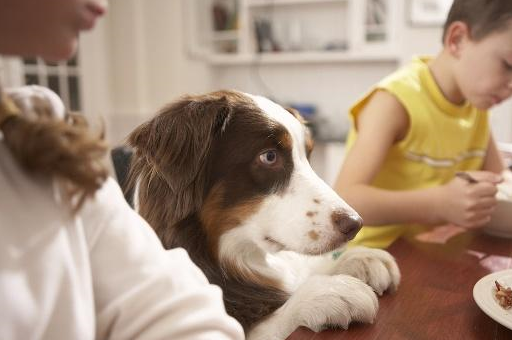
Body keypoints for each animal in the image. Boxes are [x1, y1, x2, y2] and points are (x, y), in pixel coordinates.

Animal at [127, 90, 400, 340]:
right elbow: (259, 325)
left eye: (307, 156)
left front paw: (358, 258)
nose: (355, 224)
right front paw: (327, 293)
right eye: (269, 156)